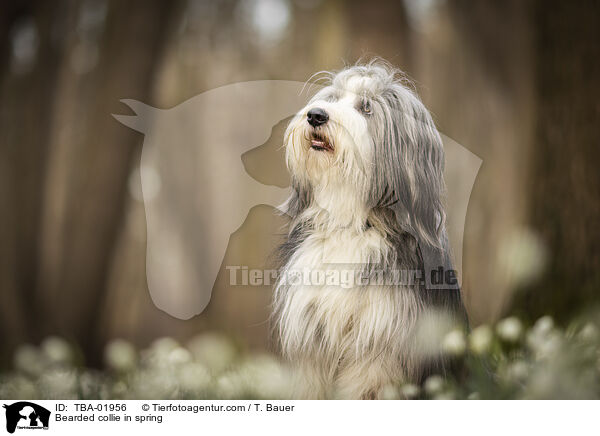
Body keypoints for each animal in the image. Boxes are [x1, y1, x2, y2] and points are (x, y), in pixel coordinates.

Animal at [274, 60, 468, 398]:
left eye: (366, 108)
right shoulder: (313, 342)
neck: (350, 223)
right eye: (333, 98)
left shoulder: (379, 347)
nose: (316, 115)